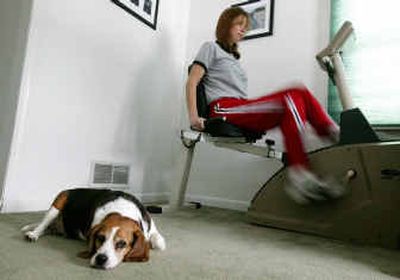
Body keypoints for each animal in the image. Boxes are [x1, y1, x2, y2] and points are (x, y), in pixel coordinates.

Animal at [21, 188, 166, 270]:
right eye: (100, 238)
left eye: (122, 244)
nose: (100, 259)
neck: (122, 211)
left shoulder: (151, 228)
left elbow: (159, 243)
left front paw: (153, 243)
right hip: (58, 202)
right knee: (43, 224)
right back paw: (33, 234)